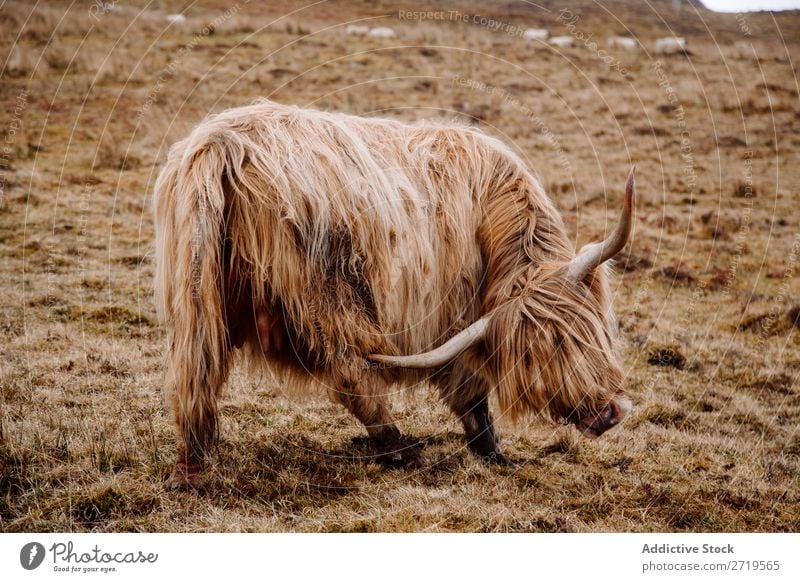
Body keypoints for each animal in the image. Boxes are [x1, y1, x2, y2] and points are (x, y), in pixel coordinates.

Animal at [153, 100, 636, 488]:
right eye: (539, 353)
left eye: (583, 334)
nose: (608, 414)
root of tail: (225, 143)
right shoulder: (454, 319)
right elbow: (472, 396)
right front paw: (494, 455)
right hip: (331, 295)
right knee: (352, 373)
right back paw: (399, 449)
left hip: (196, 294)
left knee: (195, 374)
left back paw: (189, 471)